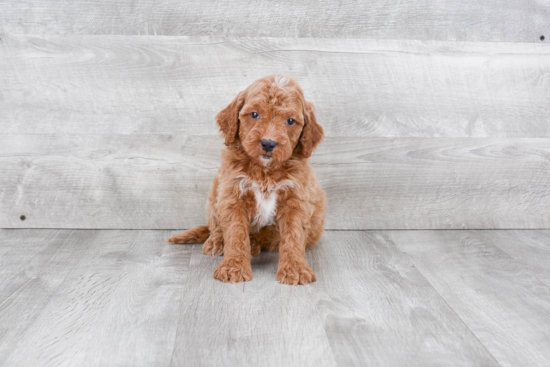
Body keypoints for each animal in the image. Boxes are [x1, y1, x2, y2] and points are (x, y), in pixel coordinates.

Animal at [166, 75, 326, 286]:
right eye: (254, 114)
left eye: (290, 120)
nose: (268, 143)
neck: (265, 171)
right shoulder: (233, 195)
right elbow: (235, 233)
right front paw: (233, 266)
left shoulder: (296, 199)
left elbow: (294, 235)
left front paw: (295, 268)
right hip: (215, 193)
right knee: (215, 226)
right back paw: (217, 241)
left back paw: (254, 245)